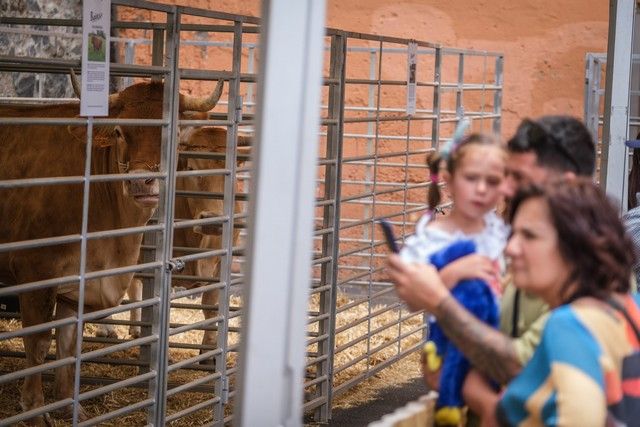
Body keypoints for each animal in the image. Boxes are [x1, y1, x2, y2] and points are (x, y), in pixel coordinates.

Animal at [0, 76, 222, 424]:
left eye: (170, 134)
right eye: (119, 131)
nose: (141, 182)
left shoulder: (77, 284)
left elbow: (68, 345)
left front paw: (68, 406)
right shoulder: (36, 274)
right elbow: (38, 346)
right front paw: (34, 410)